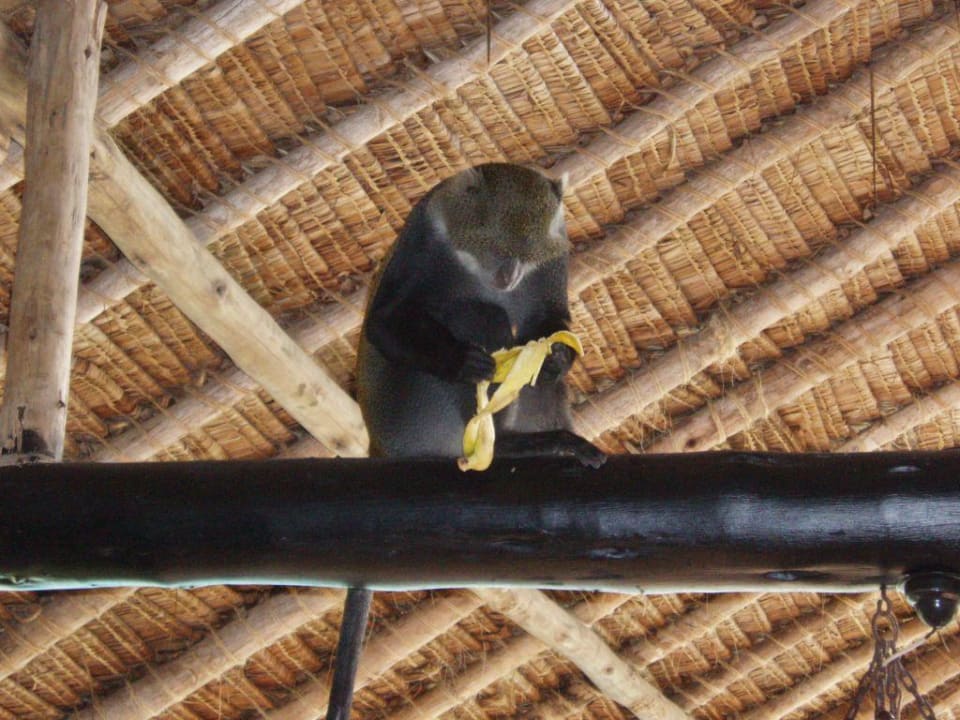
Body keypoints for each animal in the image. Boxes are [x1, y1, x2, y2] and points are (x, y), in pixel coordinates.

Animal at [324, 163, 604, 720]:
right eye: (496, 250)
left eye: (526, 255)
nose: (508, 277)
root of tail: (378, 442)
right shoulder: (424, 238)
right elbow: (386, 321)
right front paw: (460, 362)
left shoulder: (554, 258)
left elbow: (550, 322)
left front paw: (558, 357)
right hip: (412, 414)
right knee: (486, 318)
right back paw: (511, 445)